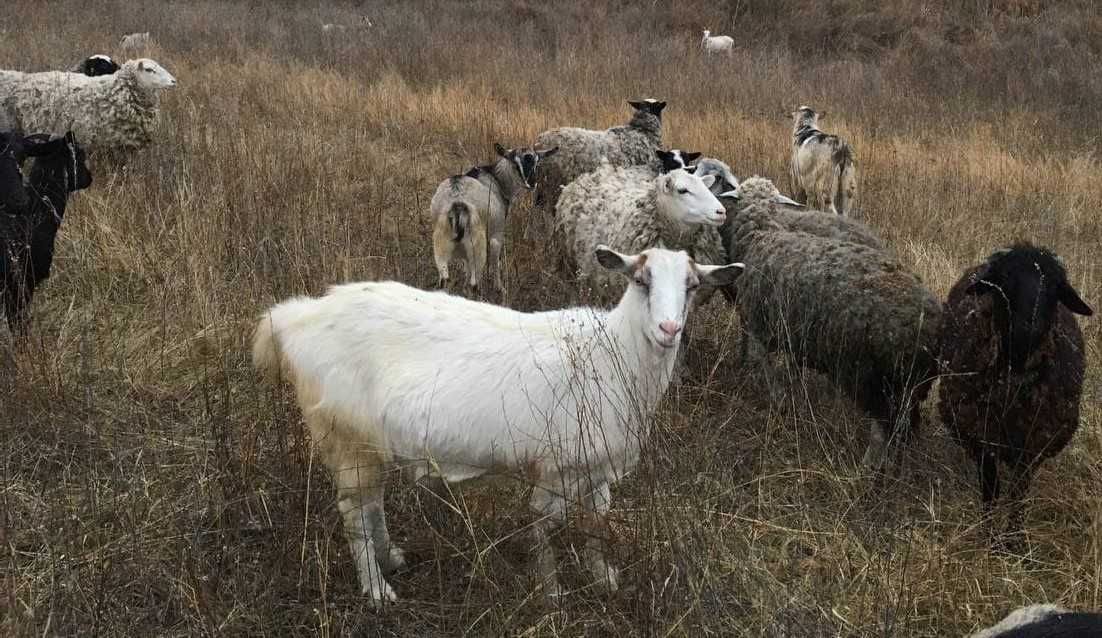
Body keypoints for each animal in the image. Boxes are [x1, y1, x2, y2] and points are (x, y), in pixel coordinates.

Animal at [253, 246, 744, 608]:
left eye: (692, 286)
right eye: (641, 281)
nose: (669, 328)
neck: (612, 352)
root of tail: (297, 318)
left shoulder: (597, 465)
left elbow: (596, 522)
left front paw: (602, 577)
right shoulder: (555, 465)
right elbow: (544, 524)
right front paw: (551, 591)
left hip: (369, 442)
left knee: (371, 502)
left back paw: (390, 557)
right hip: (344, 434)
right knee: (355, 511)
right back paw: (376, 589)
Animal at [722, 175, 938, 469]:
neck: (762, 233)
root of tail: (933, 328)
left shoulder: (760, 326)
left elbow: (764, 366)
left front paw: (778, 401)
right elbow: (791, 367)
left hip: (875, 380)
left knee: (882, 429)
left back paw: (866, 468)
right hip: (909, 388)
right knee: (903, 428)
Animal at [938, 242, 1093, 542]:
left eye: (1055, 286)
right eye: (1005, 278)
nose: (1028, 328)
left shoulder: (1032, 444)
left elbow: (1018, 493)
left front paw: (1014, 539)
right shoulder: (983, 439)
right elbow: (991, 489)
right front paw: (988, 536)